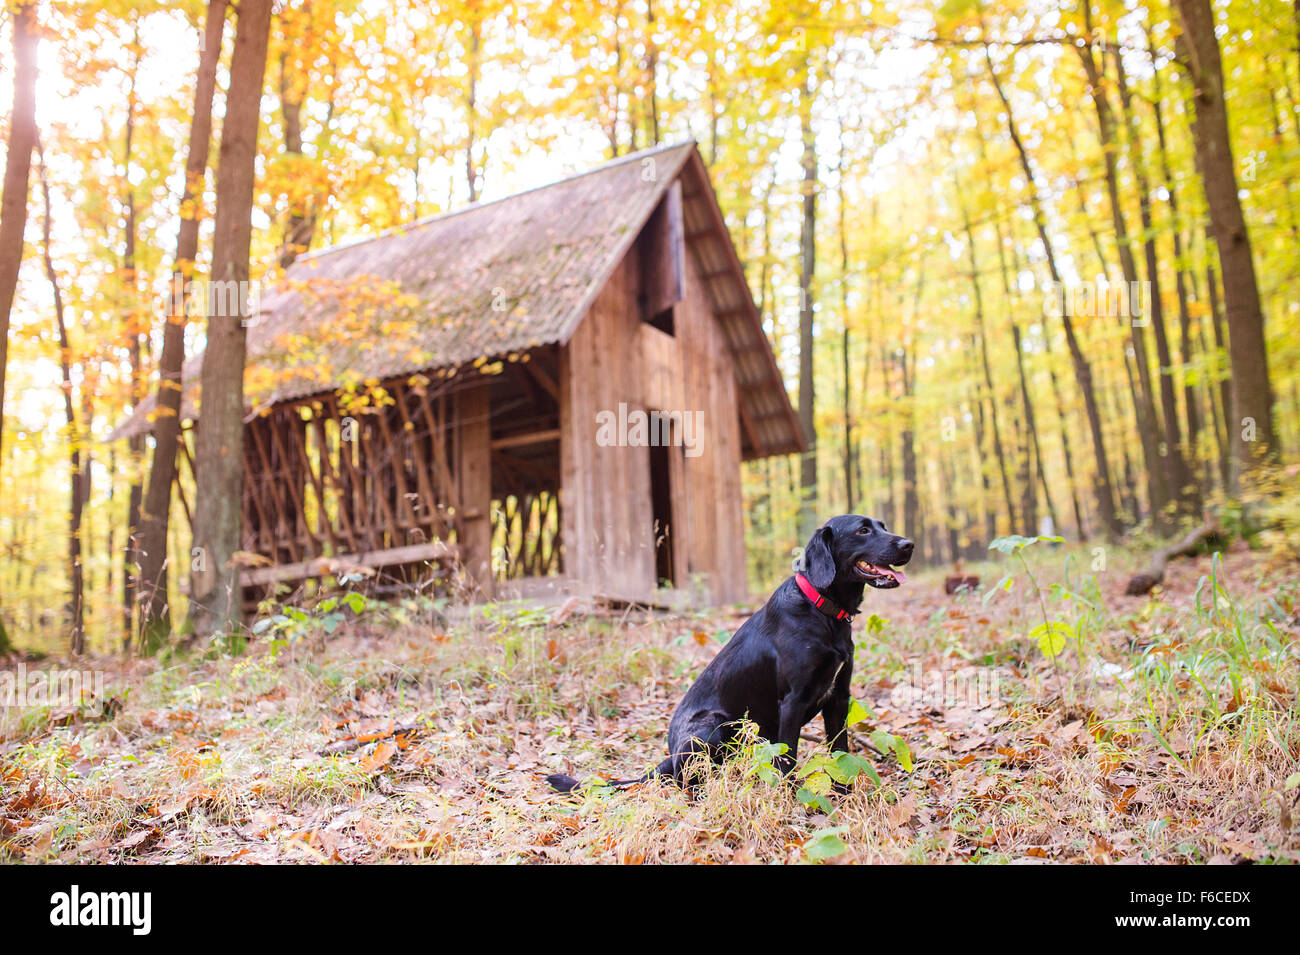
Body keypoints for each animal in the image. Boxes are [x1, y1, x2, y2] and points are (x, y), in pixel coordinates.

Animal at [546, 514, 915, 789]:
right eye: (863, 530)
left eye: (882, 525)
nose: (909, 544)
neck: (822, 609)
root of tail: (668, 756)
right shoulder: (792, 701)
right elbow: (789, 758)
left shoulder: (838, 696)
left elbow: (841, 752)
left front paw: (843, 793)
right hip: (714, 726)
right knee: (685, 779)